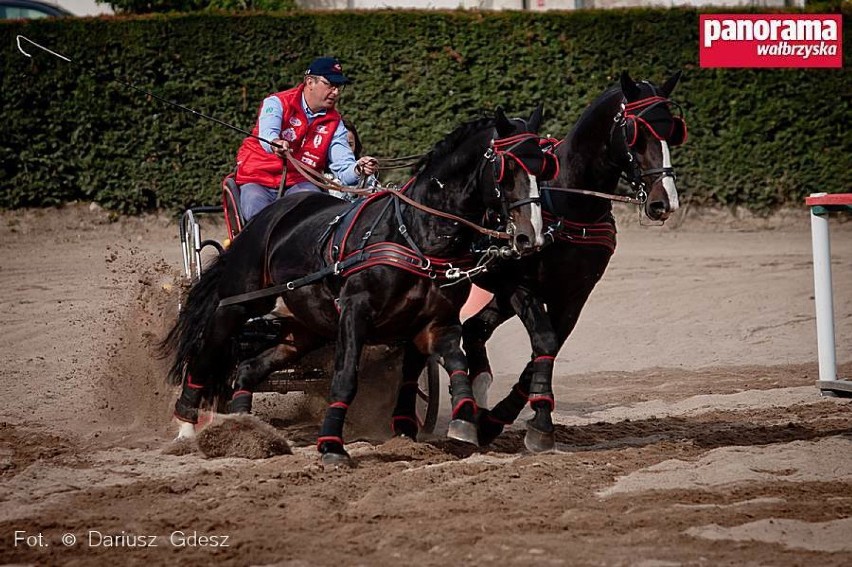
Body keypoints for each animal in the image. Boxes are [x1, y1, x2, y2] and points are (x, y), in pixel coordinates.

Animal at [164, 106, 560, 466]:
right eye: (507, 168)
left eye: (544, 168)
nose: (532, 236)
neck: (414, 233)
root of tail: (266, 218)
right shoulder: (355, 312)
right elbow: (345, 377)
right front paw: (331, 446)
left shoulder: (437, 320)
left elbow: (456, 361)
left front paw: (464, 419)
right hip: (236, 305)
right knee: (204, 357)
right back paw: (185, 426)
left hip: (305, 327)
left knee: (248, 368)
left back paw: (246, 429)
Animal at [462, 72, 688, 452]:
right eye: (636, 133)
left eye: (672, 131)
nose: (664, 202)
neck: (569, 204)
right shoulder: (520, 288)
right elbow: (545, 341)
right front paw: (538, 422)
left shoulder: (574, 295)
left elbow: (548, 349)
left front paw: (505, 419)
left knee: (473, 329)